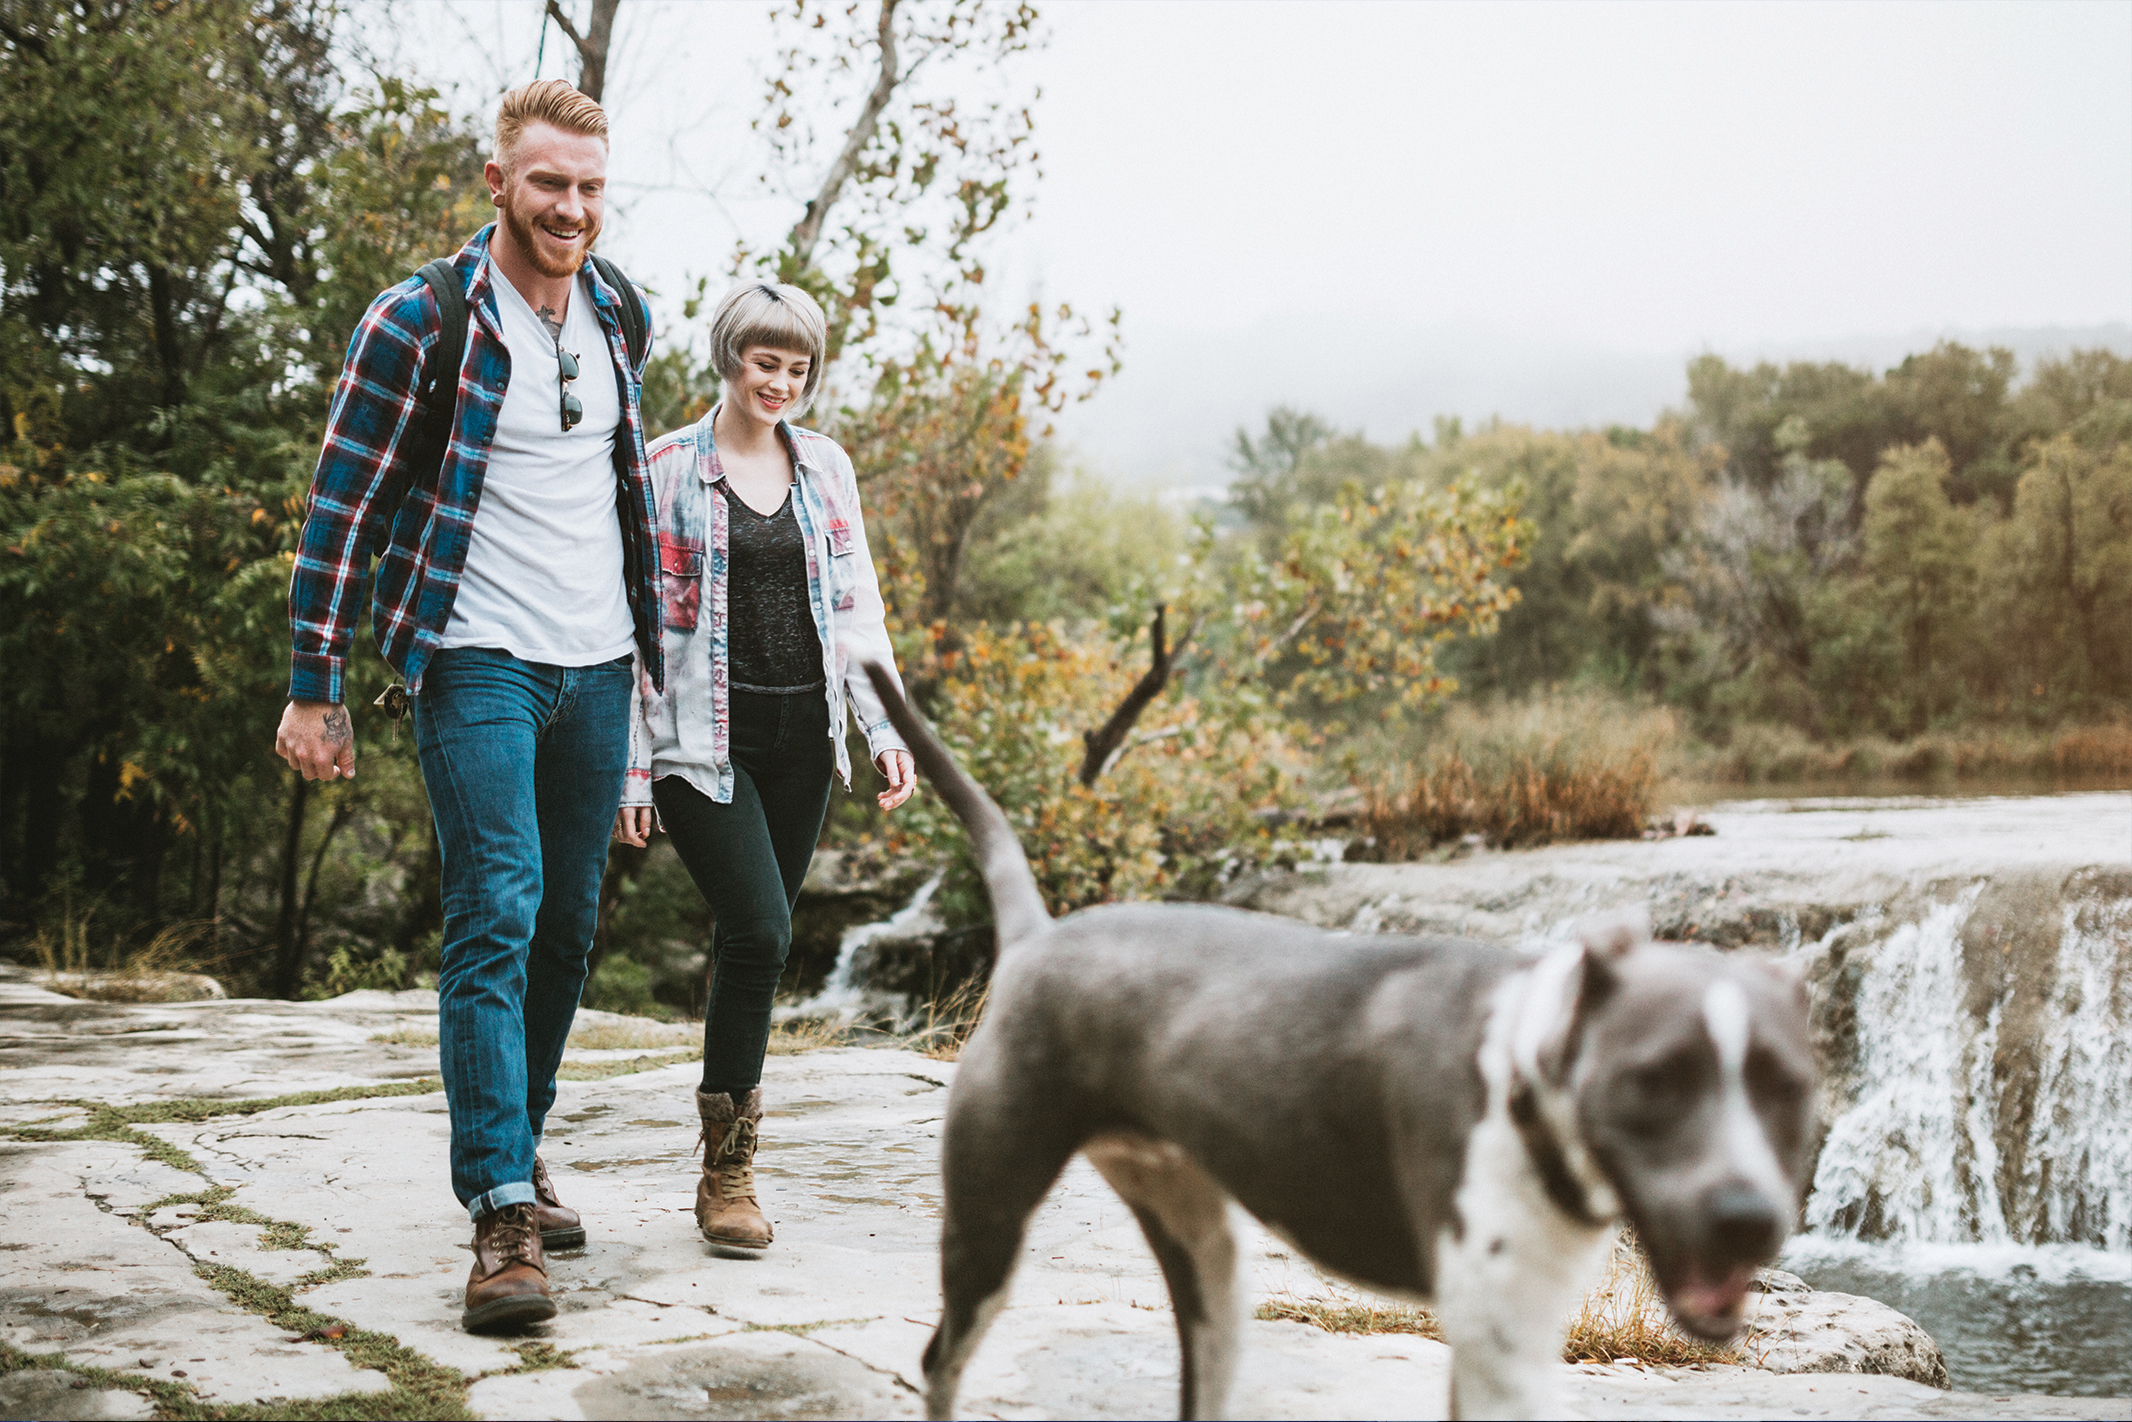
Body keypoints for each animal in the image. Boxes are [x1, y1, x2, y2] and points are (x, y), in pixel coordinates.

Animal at [865, 669, 1816, 1422]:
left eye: (1791, 1088)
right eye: (1654, 1079)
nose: (1749, 1217)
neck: (1522, 1069)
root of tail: (1037, 935)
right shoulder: (1495, 1344)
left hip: (1206, 1265)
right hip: (988, 1227)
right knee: (939, 1363)